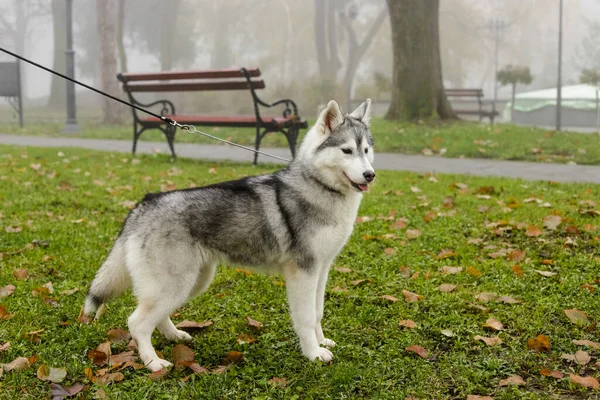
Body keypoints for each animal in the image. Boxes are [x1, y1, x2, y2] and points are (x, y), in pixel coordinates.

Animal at [84, 98, 376, 370]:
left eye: (366, 150)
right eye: (347, 150)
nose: (370, 175)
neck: (319, 187)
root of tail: (144, 204)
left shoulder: (321, 269)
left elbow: (317, 312)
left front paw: (321, 341)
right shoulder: (302, 272)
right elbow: (305, 317)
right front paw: (313, 353)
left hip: (190, 283)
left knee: (157, 315)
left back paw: (174, 335)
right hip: (175, 283)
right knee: (138, 323)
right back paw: (153, 362)